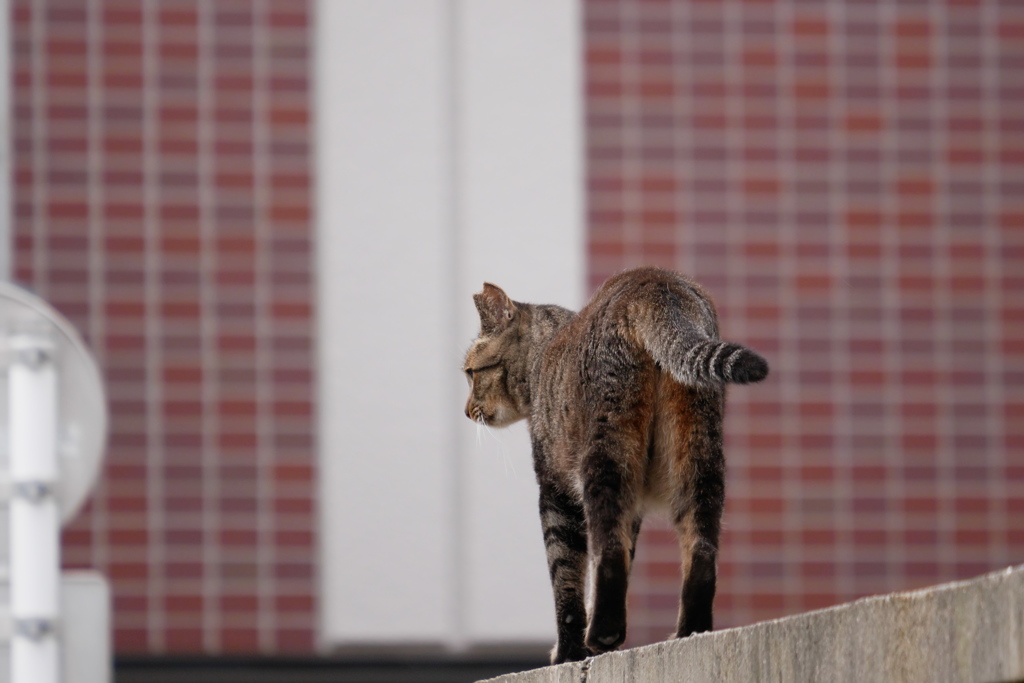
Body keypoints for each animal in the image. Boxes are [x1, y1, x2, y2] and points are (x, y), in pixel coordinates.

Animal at [464, 266, 770, 663]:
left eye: (470, 373)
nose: (466, 411)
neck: (541, 360)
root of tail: (655, 282)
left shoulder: (555, 490)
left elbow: (566, 577)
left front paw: (570, 652)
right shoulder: (635, 503)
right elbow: (620, 556)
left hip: (605, 452)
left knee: (608, 546)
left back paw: (605, 633)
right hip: (699, 452)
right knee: (700, 546)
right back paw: (690, 632)